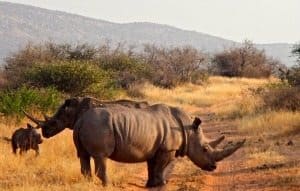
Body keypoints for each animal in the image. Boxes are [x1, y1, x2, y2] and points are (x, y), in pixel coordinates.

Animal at [24, 97, 245, 187]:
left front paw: (151, 184)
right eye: (206, 149)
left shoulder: (155, 147)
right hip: (98, 126)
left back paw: (88, 183)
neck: (189, 129)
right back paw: (107, 185)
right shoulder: (168, 149)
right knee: (101, 157)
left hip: (87, 127)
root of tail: (81, 121)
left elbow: (151, 166)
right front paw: (162, 184)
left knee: (83, 156)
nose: (213, 167)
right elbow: (160, 167)